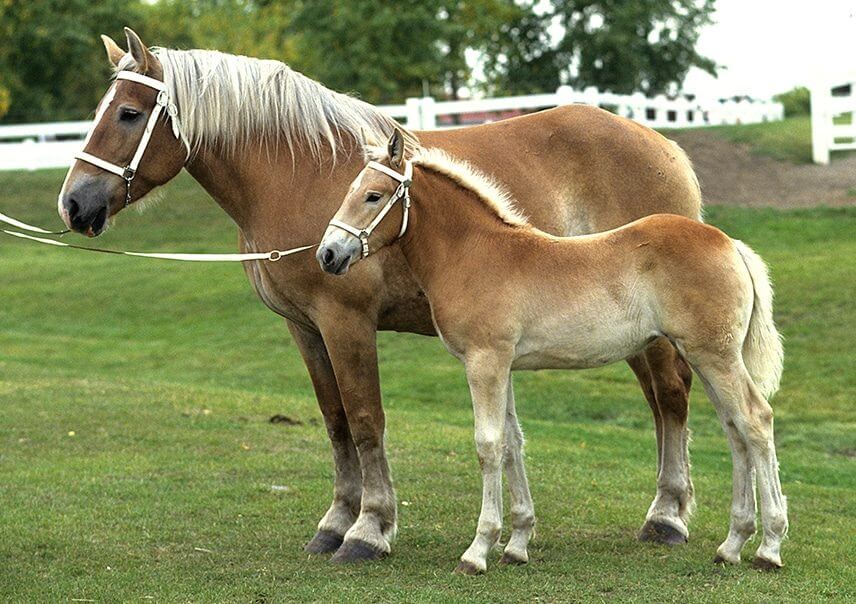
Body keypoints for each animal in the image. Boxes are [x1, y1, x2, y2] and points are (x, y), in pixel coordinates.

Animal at [56, 28, 704, 564]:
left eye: (129, 114)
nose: (74, 204)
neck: (298, 175)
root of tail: (662, 143)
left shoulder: (346, 322)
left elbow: (367, 420)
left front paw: (369, 530)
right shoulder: (305, 328)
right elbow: (335, 421)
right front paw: (335, 523)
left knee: (672, 396)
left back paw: (666, 518)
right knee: (661, 401)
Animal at [314, 130, 784, 572]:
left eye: (373, 195)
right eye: (349, 190)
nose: (328, 255)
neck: (475, 253)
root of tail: (731, 244)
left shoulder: (484, 362)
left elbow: (488, 445)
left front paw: (478, 550)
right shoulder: (501, 365)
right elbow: (512, 442)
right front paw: (517, 544)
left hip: (715, 356)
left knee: (755, 420)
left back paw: (769, 547)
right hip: (706, 358)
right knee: (734, 429)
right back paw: (733, 544)